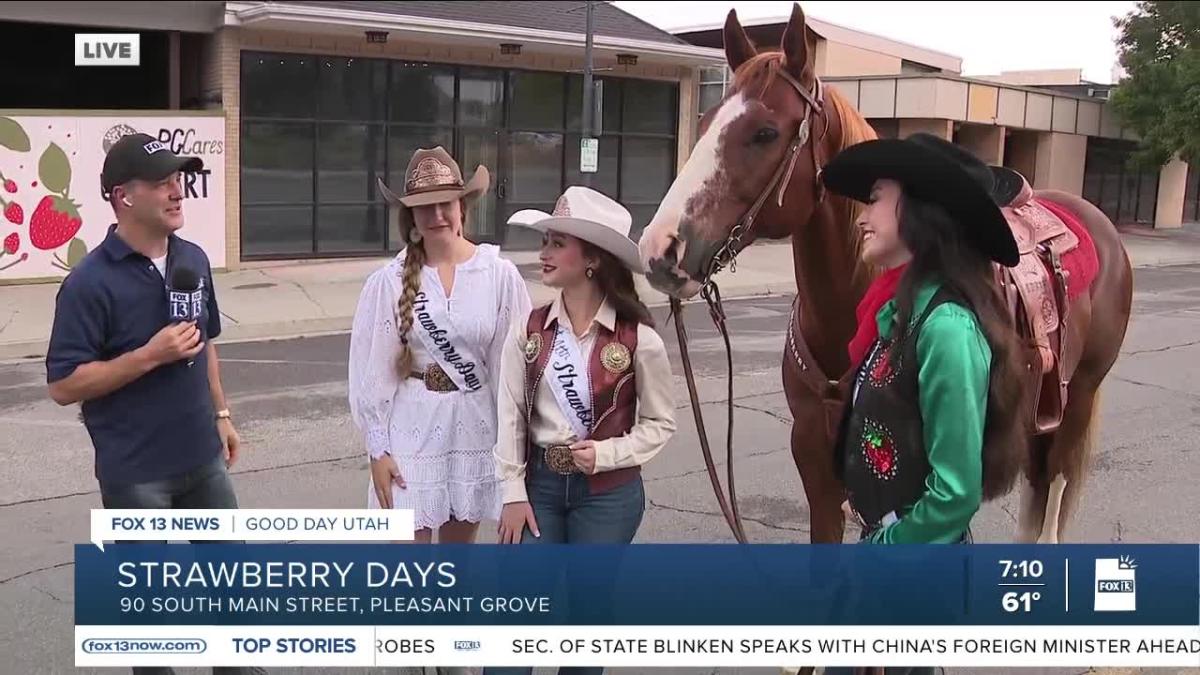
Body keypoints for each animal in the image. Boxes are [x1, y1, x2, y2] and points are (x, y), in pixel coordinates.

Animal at [643, 3, 1128, 540]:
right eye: (705, 121)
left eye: (765, 132)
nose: (660, 248)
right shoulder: (813, 459)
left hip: (1078, 398)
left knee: (1054, 493)